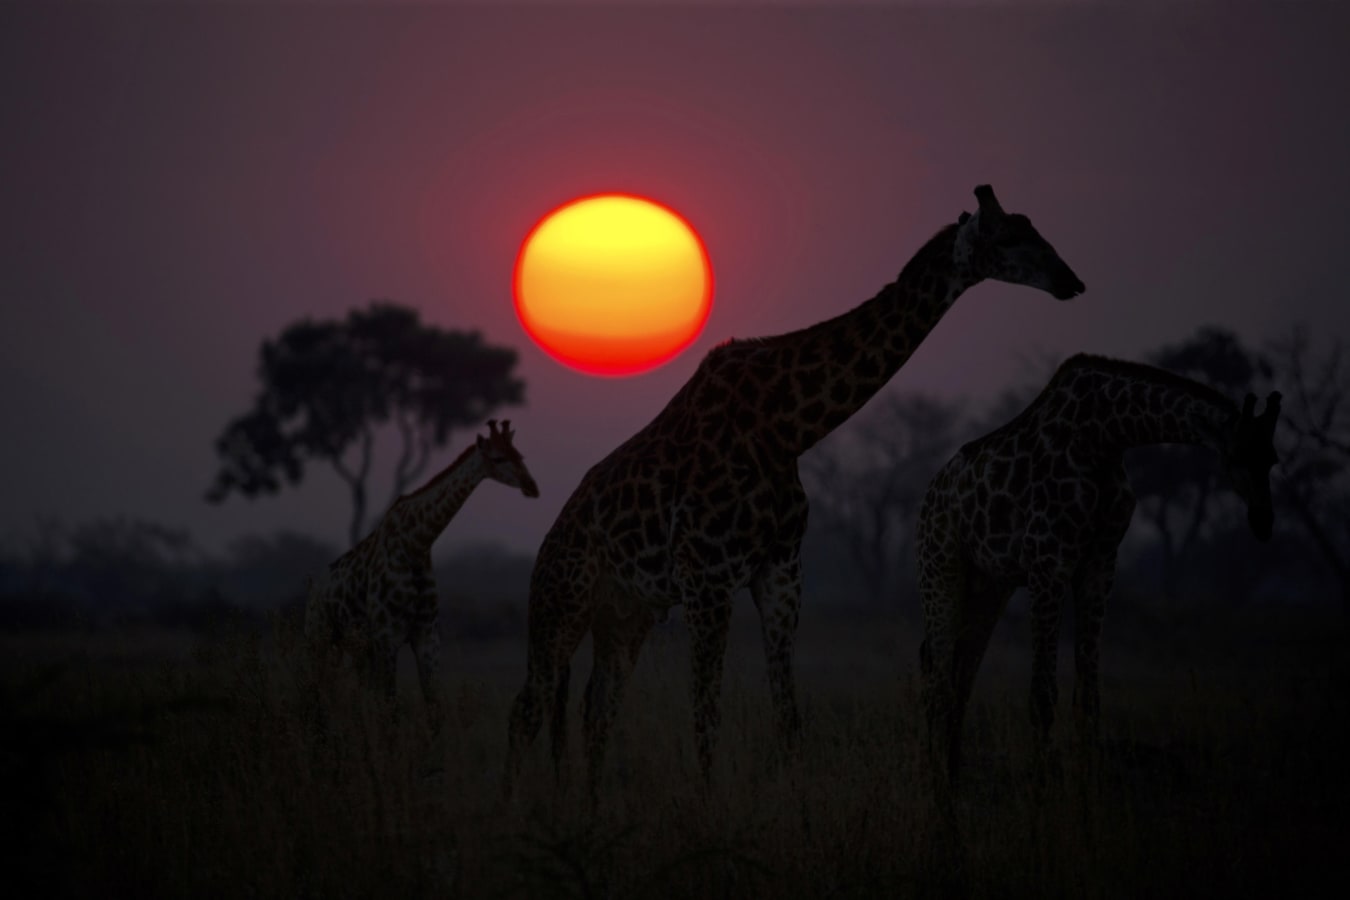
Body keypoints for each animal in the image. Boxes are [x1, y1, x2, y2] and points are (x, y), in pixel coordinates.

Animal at [304, 419, 540, 731]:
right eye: (498, 458)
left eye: (520, 455)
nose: (532, 487)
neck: (416, 544)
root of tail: (314, 590)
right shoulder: (387, 636)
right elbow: (390, 709)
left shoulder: (427, 635)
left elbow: (434, 710)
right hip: (319, 636)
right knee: (315, 695)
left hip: (357, 648)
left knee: (356, 696)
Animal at [503, 184, 1087, 804]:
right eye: (1010, 238)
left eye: (1035, 228)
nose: (1071, 280)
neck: (787, 426)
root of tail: (544, 550)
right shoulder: (707, 579)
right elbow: (705, 715)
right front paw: (708, 817)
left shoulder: (781, 572)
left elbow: (788, 718)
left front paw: (798, 811)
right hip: (562, 605)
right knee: (527, 709)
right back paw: (514, 807)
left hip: (624, 615)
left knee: (595, 708)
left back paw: (589, 811)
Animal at [915, 354, 1282, 788]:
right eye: (1235, 456)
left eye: (1273, 459)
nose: (1263, 522)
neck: (1106, 435)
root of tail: (930, 495)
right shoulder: (1048, 562)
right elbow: (1042, 694)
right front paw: (1044, 792)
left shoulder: (1100, 565)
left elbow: (1088, 697)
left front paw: (1088, 792)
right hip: (941, 568)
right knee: (936, 678)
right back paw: (936, 786)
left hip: (989, 585)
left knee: (960, 676)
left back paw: (954, 780)